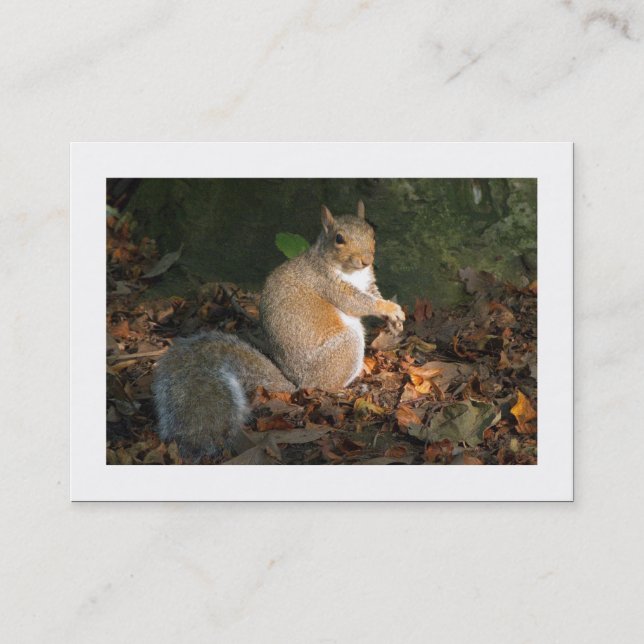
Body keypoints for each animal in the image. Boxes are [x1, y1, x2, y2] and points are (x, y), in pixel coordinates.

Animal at [152, 201, 405, 461]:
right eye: (339, 238)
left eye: (372, 233)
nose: (366, 260)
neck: (352, 272)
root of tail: (297, 384)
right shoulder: (327, 284)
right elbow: (357, 302)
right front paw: (387, 308)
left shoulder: (368, 282)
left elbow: (372, 294)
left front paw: (395, 319)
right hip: (345, 347)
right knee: (327, 385)